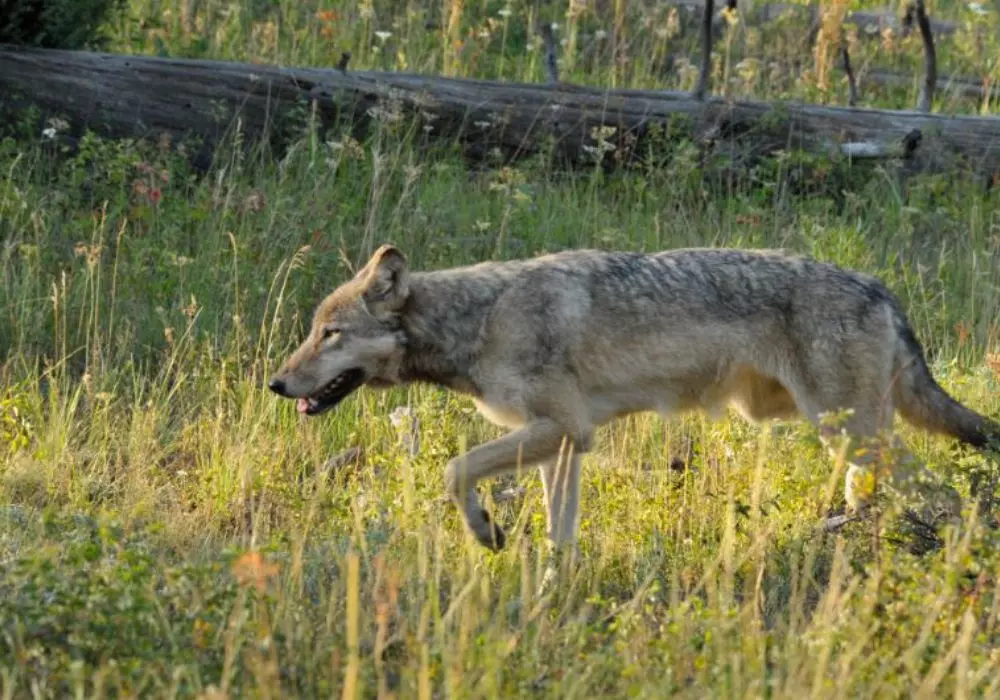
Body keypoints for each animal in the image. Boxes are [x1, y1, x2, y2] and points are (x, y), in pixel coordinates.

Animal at [268, 245, 1000, 552]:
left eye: (331, 334)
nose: (276, 384)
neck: (480, 319)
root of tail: (883, 289)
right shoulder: (561, 446)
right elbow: (559, 539)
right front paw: (549, 605)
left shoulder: (562, 431)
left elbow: (453, 472)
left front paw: (486, 532)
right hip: (844, 437)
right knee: (878, 496)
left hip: (851, 432)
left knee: (948, 499)